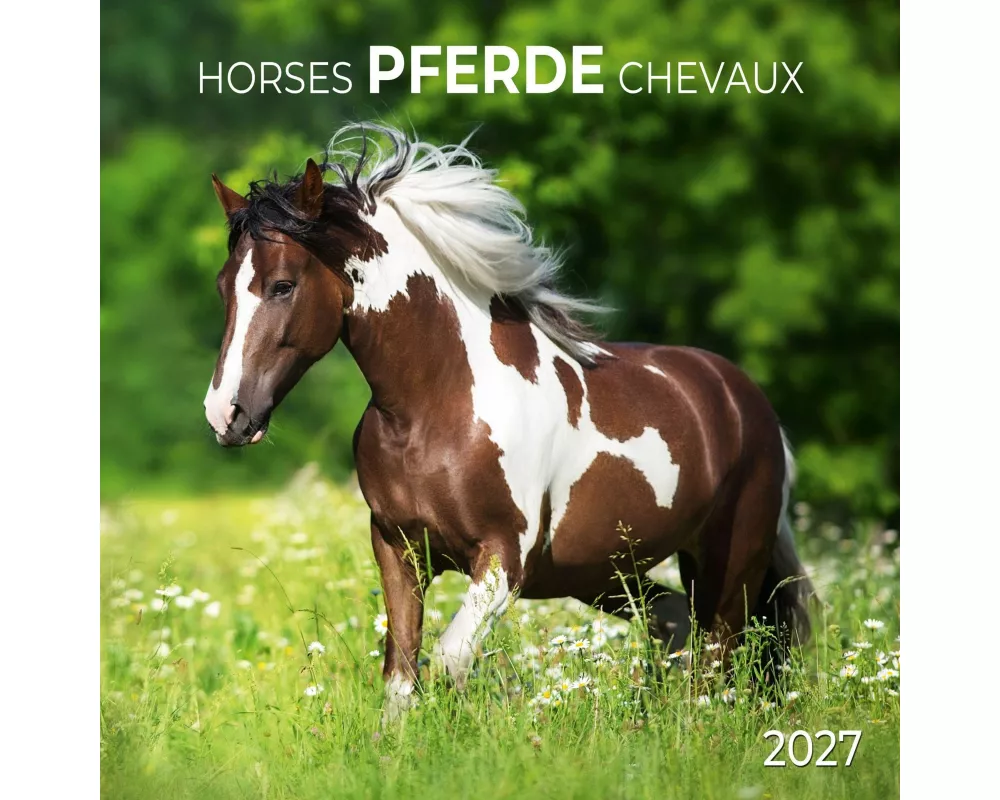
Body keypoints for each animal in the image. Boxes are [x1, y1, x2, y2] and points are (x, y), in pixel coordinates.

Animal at [203, 123, 815, 721]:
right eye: (222, 286)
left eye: (283, 285)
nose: (226, 414)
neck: (435, 409)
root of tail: (746, 400)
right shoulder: (398, 550)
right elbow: (400, 677)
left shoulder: (504, 559)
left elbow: (449, 660)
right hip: (605, 573)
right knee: (673, 623)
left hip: (729, 568)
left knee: (716, 661)